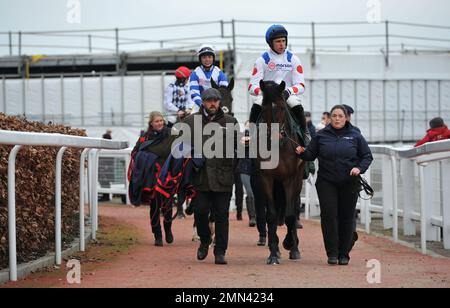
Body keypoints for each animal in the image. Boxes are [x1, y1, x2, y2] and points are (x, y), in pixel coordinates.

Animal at [256, 79, 306, 264]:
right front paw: (273, 253)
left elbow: (290, 215)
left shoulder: (290, 178)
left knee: (295, 208)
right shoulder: (266, 178)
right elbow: (271, 215)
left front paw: (291, 246)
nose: (275, 137)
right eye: (264, 108)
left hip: (298, 181)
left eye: (282, 107)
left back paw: (293, 245)